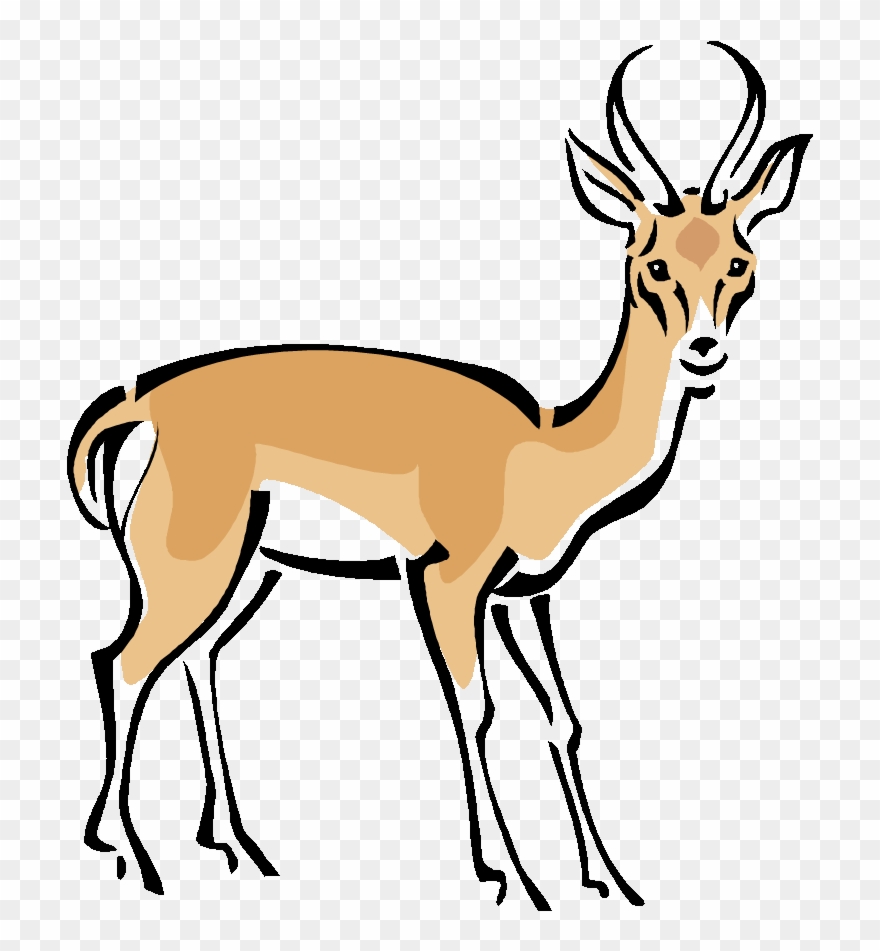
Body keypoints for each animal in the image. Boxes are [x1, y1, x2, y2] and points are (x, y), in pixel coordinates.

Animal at [67, 42, 810, 908]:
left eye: (738, 258)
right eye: (650, 261)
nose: (703, 351)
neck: (545, 449)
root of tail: (140, 401)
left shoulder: (525, 595)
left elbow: (563, 717)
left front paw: (609, 877)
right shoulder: (445, 578)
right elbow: (475, 706)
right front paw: (512, 873)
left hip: (250, 569)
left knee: (197, 659)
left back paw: (239, 846)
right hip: (191, 564)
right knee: (122, 661)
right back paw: (129, 852)